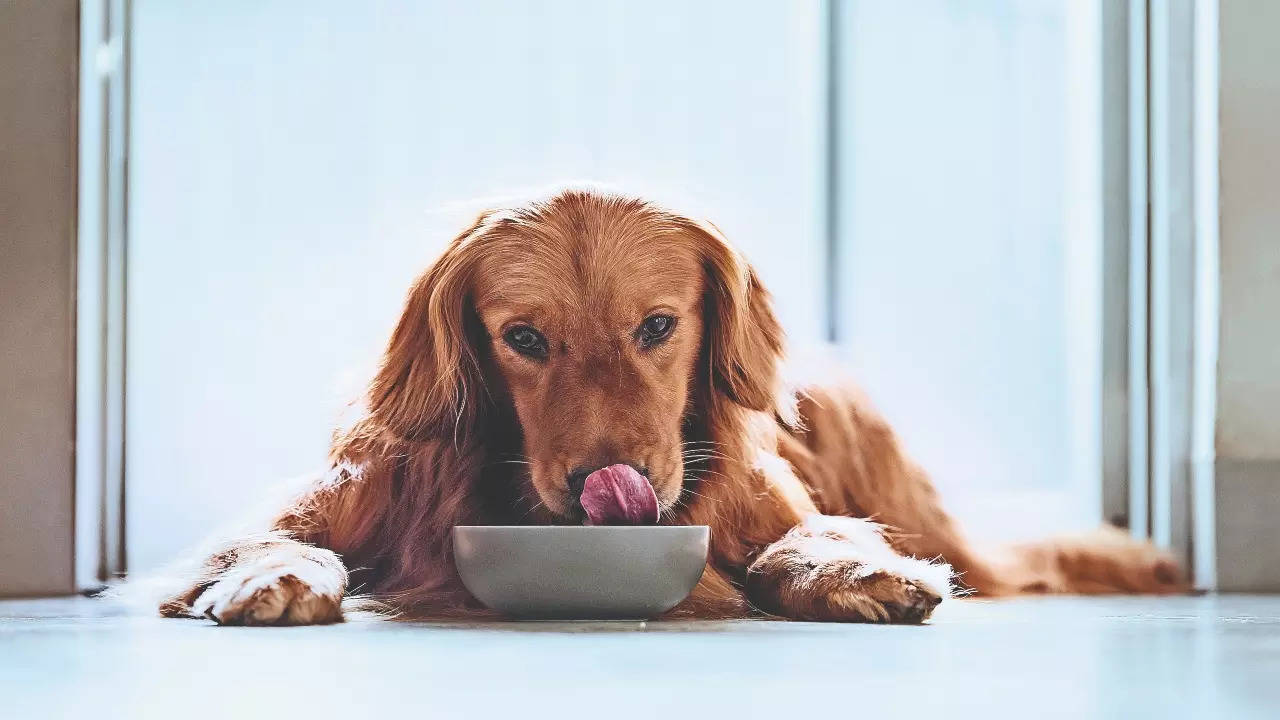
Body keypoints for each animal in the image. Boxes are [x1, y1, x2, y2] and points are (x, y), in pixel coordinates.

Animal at [154, 184, 1182, 622]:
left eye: (657, 326)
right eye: (524, 339)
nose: (611, 480)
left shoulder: (764, 507)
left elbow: (801, 541)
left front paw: (846, 570)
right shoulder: (343, 495)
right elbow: (262, 540)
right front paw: (271, 577)